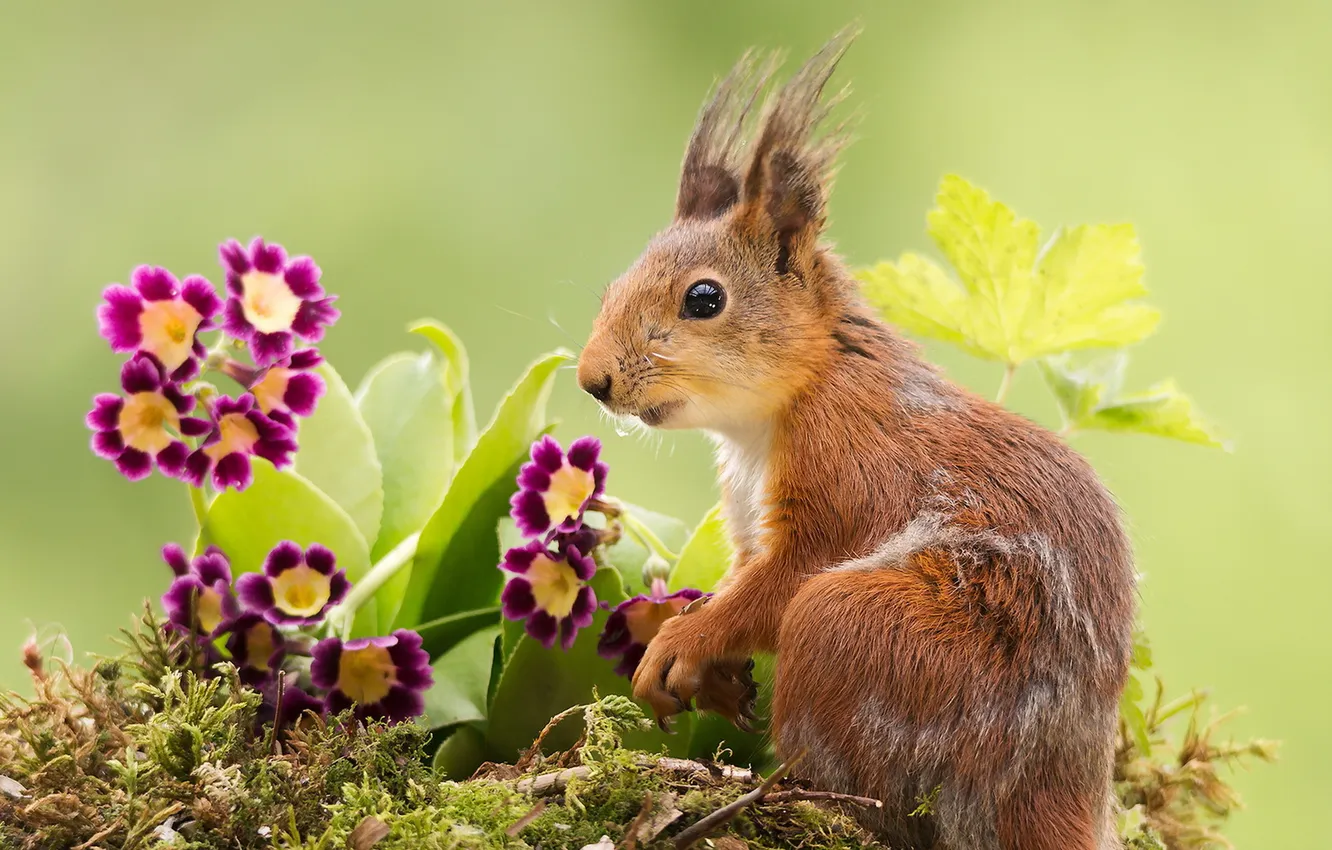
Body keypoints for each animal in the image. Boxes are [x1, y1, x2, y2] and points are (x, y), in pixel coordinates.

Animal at [572, 29, 1134, 850]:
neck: (777, 410)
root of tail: (1048, 792)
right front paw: (713, 668)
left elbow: (779, 582)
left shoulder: (849, 472)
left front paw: (683, 640)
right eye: (614, 286)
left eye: (704, 298)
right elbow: (743, 575)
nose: (593, 380)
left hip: (865, 634)